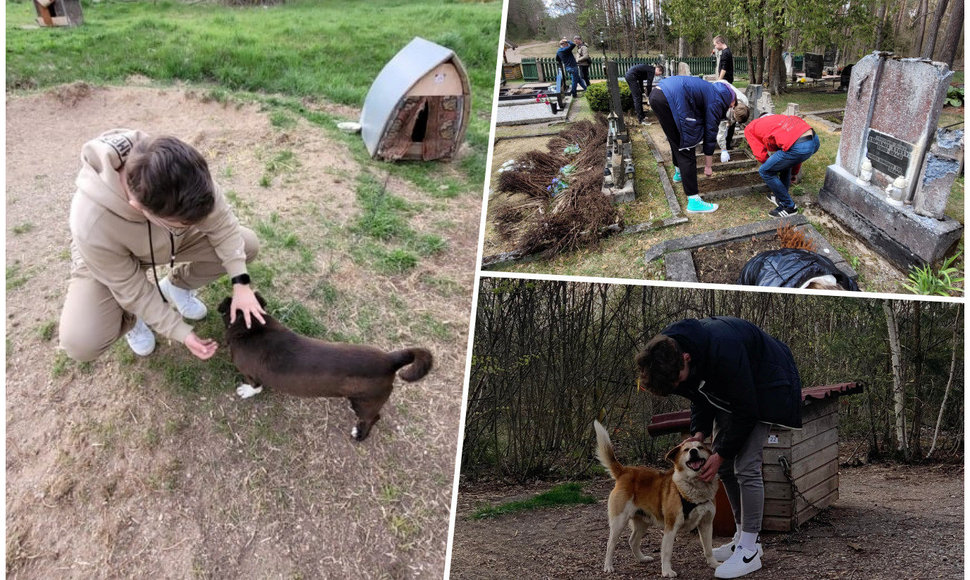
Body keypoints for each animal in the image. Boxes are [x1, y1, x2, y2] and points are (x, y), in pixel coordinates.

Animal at [221, 294, 432, 440]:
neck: (253, 327)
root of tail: (390, 359)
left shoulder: (250, 372)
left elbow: (255, 386)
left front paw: (246, 391)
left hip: (365, 403)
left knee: (373, 418)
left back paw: (360, 435)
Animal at [588, 420, 720, 576]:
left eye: (700, 447)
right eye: (686, 450)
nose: (693, 451)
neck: (695, 487)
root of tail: (625, 471)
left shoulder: (706, 524)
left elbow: (708, 548)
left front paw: (714, 564)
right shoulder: (671, 526)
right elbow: (667, 552)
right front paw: (667, 570)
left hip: (642, 521)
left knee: (632, 541)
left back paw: (641, 558)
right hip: (619, 521)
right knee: (610, 544)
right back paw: (608, 566)